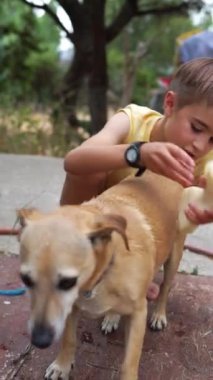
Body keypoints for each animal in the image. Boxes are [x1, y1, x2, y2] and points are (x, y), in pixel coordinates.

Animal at [17, 171, 186, 380]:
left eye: (67, 282)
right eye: (25, 279)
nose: (40, 341)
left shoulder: (138, 314)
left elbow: (129, 362)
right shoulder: (71, 309)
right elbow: (69, 339)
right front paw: (62, 365)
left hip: (174, 256)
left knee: (165, 288)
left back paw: (159, 315)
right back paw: (112, 317)